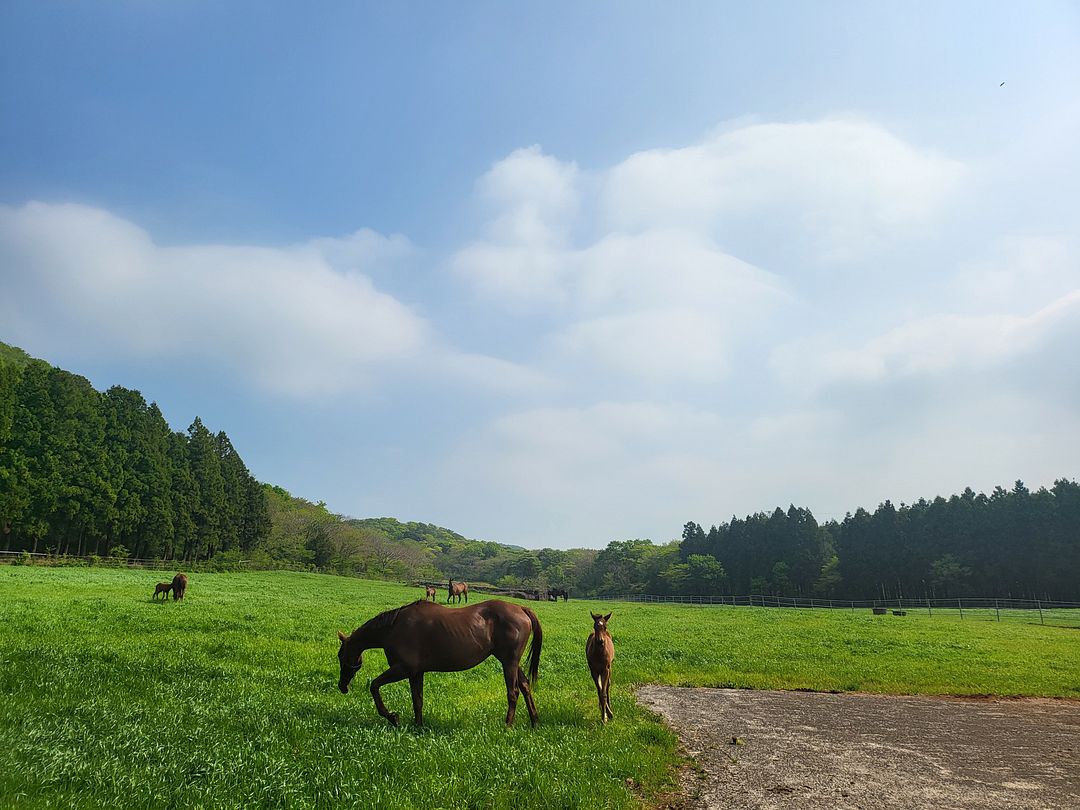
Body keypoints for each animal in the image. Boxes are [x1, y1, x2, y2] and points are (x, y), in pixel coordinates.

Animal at [336, 596, 540, 730]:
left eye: (340, 656)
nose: (342, 686)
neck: (393, 628)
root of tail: (521, 608)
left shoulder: (403, 669)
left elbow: (374, 686)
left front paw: (392, 717)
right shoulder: (416, 673)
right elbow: (417, 700)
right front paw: (418, 727)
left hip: (509, 662)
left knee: (513, 692)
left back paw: (508, 725)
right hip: (512, 662)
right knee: (525, 686)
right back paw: (535, 721)